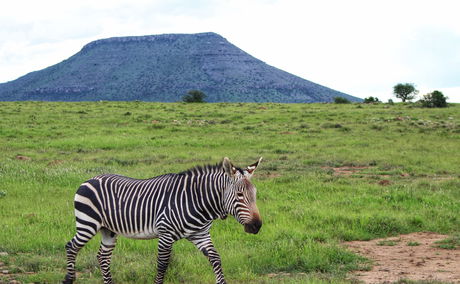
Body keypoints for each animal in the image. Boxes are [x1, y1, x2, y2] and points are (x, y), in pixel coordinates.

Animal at [63, 158, 262, 284]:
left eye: (255, 193)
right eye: (239, 195)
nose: (257, 226)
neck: (196, 200)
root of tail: (91, 179)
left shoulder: (200, 234)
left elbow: (215, 259)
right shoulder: (166, 234)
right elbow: (162, 265)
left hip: (108, 229)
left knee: (103, 256)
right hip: (88, 224)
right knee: (71, 246)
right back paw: (68, 279)